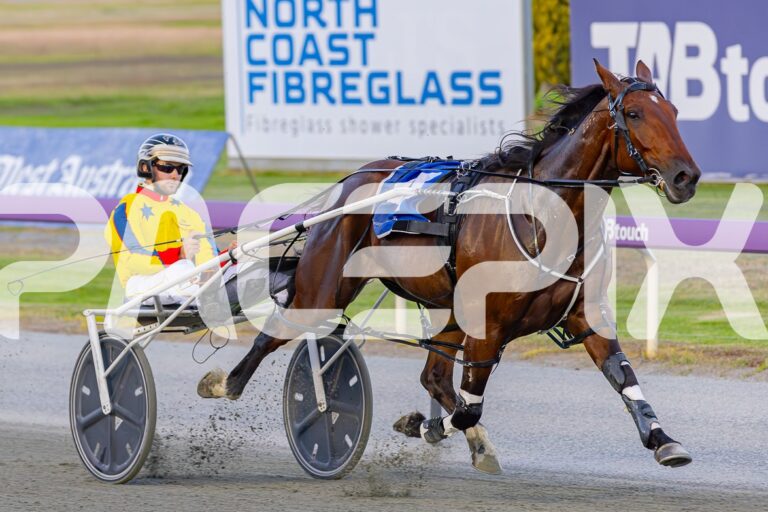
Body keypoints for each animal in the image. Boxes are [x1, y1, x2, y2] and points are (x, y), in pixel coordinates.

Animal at [198, 59, 700, 472]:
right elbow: (469, 405)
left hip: (447, 305)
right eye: (633, 114)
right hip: (325, 285)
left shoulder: (582, 315)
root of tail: (350, 181)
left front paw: (663, 440)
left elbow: (622, 375)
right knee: (273, 334)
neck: (543, 213)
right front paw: (431, 425)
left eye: (674, 111)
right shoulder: (487, 322)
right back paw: (225, 384)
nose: (686, 177)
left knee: (433, 373)